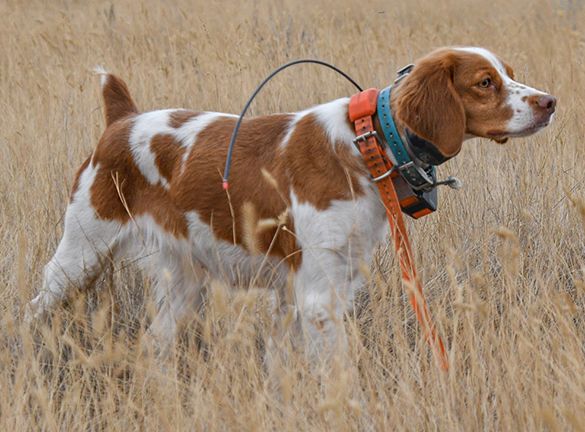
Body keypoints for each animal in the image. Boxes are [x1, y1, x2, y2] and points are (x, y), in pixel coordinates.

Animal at [27, 47, 555, 359]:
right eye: (485, 82)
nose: (550, 102)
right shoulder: (318, 295)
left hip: (184, 282)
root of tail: (124, 119)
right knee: (34, 310)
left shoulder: (318, 286)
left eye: (510, 75)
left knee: (154, 346)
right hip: (80, 254)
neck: (365, 145)